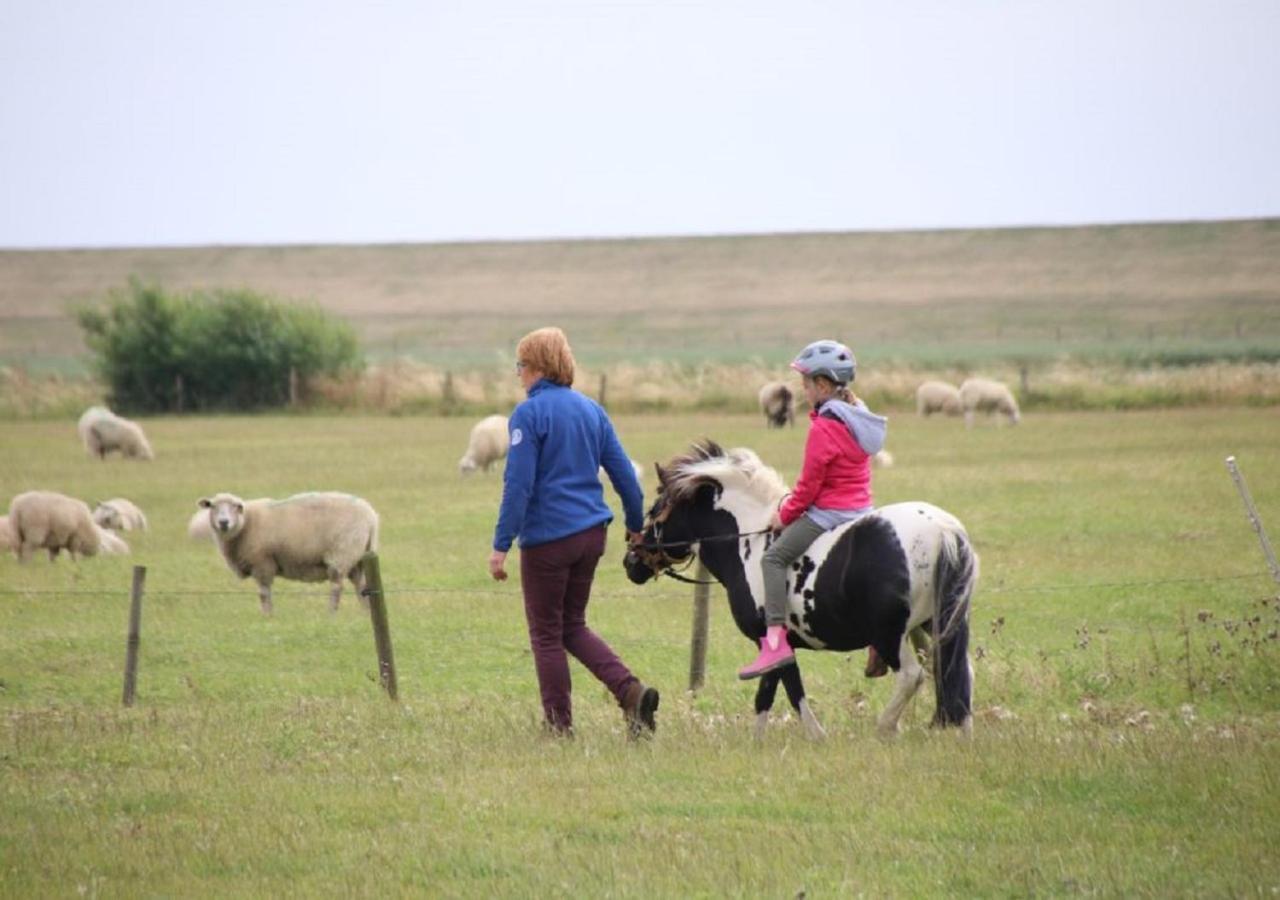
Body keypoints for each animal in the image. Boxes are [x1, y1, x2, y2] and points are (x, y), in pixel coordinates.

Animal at [195, 489, 378, 617]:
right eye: (212, 506)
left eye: (237, 507)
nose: (223, 522)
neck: (246, 524)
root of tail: (371, 516)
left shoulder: (262, 563)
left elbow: (264, 593)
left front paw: (267, 616)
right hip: (357, 557)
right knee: (361, 585)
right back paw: (366, 612)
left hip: (341, 553)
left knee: (336, 587)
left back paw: (331, 613)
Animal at [622, 442, 977, 737]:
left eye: (654, 508)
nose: (630, 561)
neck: (749, 543)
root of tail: (943, 529)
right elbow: (773, 692)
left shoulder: (770, 641)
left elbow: (783, 691)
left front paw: (807, 737)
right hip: (935, 624)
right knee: (957, 672)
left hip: (889, 634)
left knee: (913, 676)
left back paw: (886, 728)